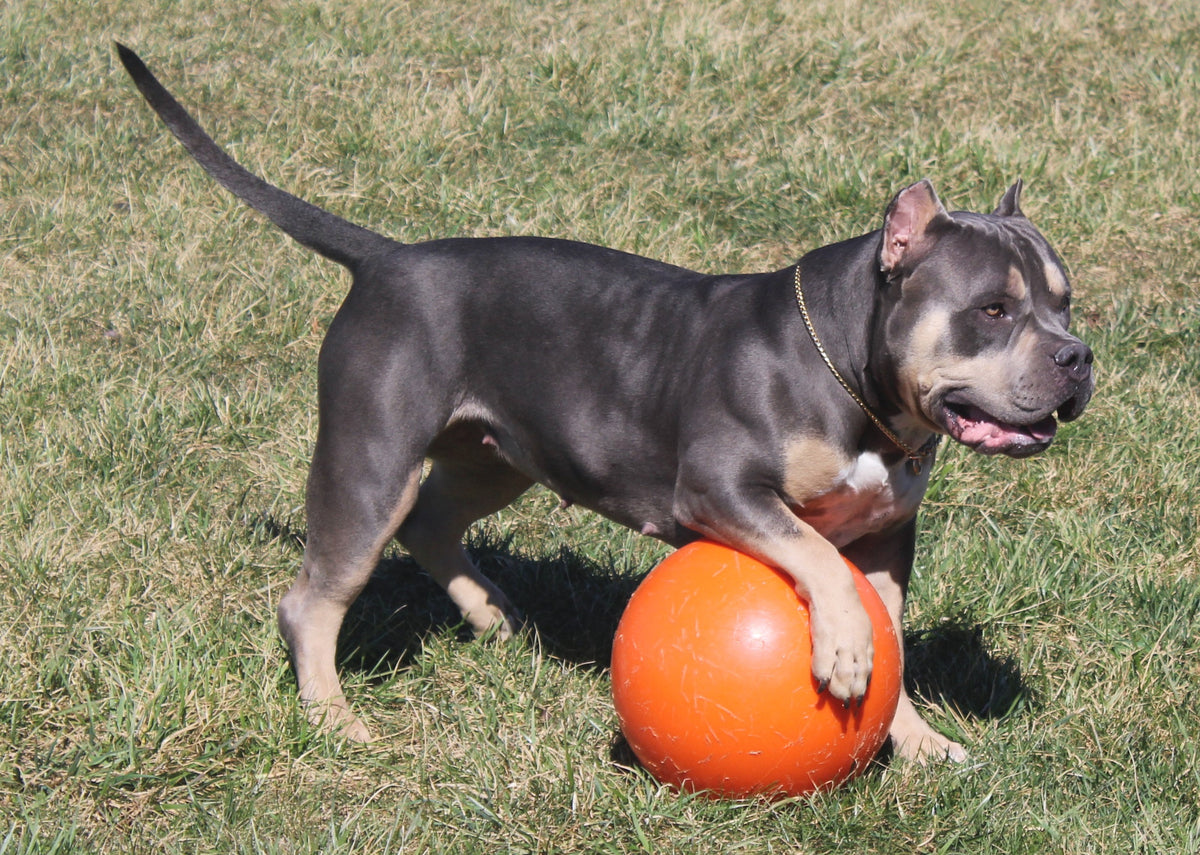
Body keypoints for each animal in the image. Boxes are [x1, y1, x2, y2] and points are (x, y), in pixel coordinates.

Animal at [119, 45, 1089, 763]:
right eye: (992, 311)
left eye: (1065, 301)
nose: (1079, 358)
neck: (857, 382)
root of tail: (388, 259)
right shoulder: (723, 490)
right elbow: (813, 552)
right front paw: (845, 649)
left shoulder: (887, 533)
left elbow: (892, 628)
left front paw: (916, 738)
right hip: (370, 459)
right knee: (319, 594)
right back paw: (333, 715)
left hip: (497, 453)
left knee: (431, 520)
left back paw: (493, 615)